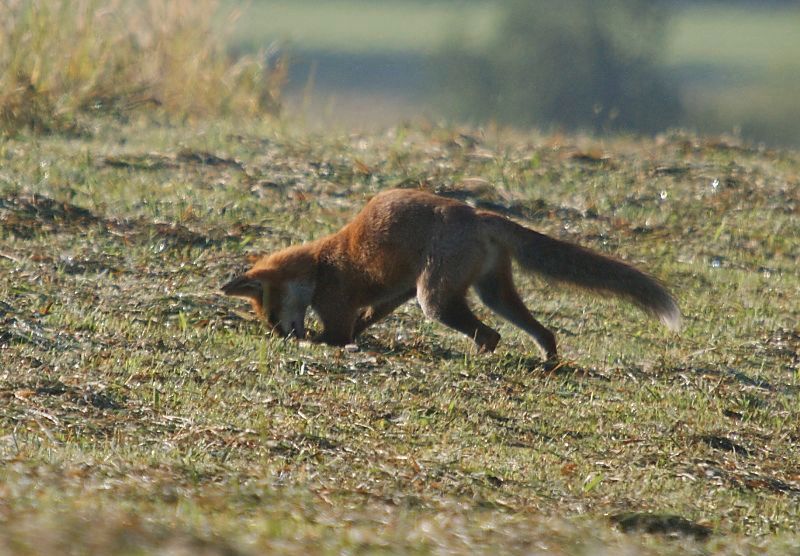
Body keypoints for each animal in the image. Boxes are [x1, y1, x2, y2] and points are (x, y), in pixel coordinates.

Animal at [220, 188, 680, 360]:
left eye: (273, 315)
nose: (281, 337)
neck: (322, 264)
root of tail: (477, 213)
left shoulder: (339, 307)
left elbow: (335, 335)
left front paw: (323, 344)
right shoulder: (396, 292)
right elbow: (367, 318)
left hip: (436, 300)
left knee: (490, 335)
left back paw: (481, 358)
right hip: (492, 293)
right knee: (543, 332)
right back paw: (547, 361)